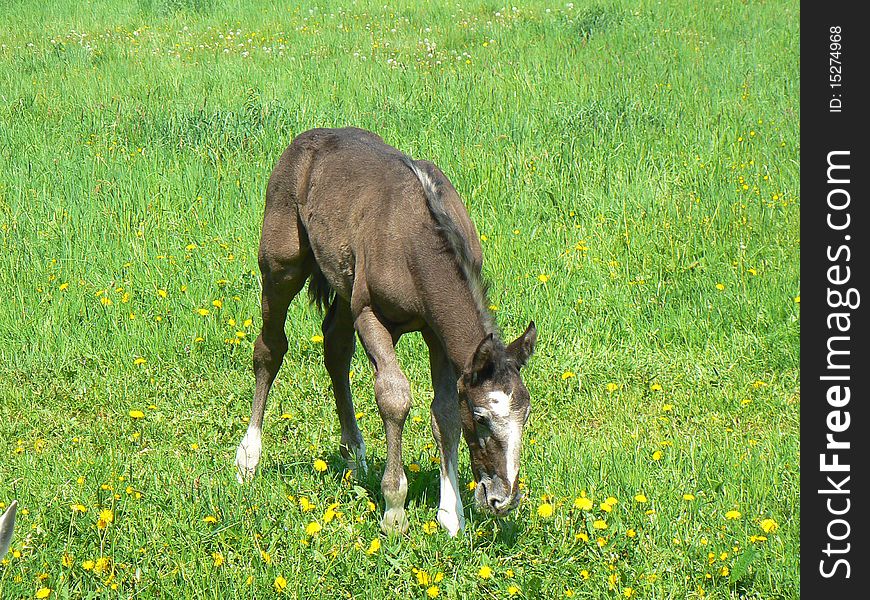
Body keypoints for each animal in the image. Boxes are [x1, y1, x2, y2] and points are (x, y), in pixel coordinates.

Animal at [238, 127, 540, 536]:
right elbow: (394, 397)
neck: (415, 240)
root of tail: (303, 140)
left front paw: (451, 515)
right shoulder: (370, 314)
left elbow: (444, 412)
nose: (503, 499)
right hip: (281, 265)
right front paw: (394, 509)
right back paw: (248, 459)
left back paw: (354, 454)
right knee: (270, 348)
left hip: (344, 285)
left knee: (335, 348)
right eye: (481, 417)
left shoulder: (435, 333)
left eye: (525, 416)